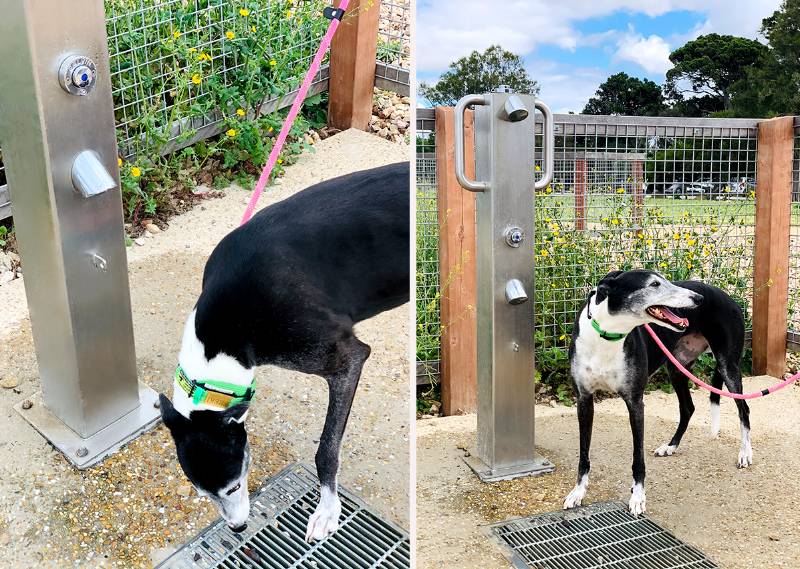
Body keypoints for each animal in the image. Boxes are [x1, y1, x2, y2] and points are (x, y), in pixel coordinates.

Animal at [157, 163, 410, 540]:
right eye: (204, 494)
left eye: (234, 487)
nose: (237, 528)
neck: (225, 333)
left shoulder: (345, 359)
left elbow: (326, 451)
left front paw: (327, 510)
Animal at [564, 270, 752, 516]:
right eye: (654, 284)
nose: (698, 299)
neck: (607, 335)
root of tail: (727, 297)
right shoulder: (584, 400)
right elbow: (583, 453)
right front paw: (578, 492)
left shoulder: (635, 402)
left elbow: (638, 458)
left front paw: (637, 497)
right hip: (677, 367)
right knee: (688, 407)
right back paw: (670, 446)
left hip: (728, 365)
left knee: (743, 408)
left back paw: (745, 453)